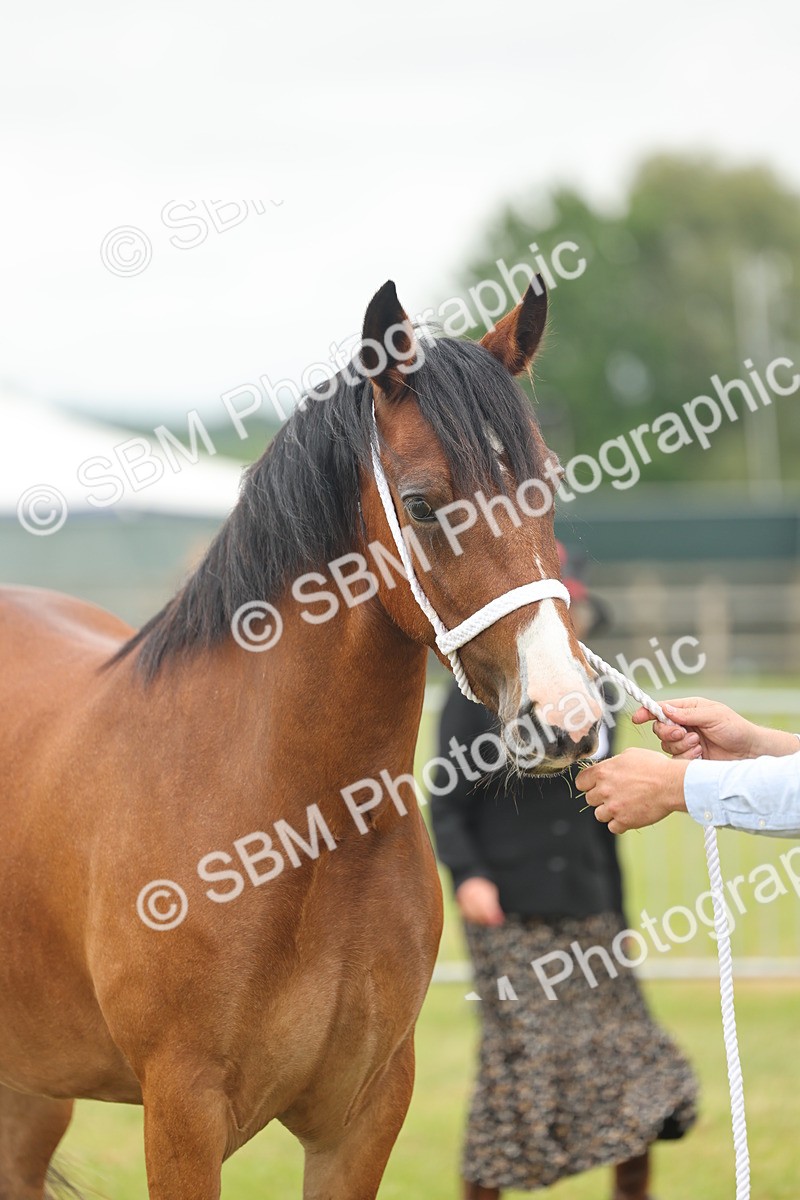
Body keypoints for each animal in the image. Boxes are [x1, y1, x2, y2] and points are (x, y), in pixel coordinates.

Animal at [0, 278, 602, 1199]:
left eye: (548, 491)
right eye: (422, 503)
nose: (564, 716)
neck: (303, 832)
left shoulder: (364, 1114)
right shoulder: (181, 1113)